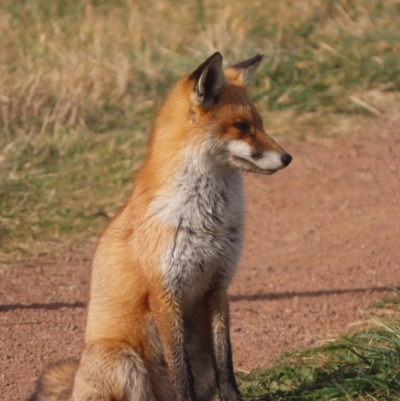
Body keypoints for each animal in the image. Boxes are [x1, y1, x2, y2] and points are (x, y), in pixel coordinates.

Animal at [28, 53, 290, 400]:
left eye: (260, 124)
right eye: (241, 127)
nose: (287, 157)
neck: (207, 220)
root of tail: (75, 387)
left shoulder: (218, 285)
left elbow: (226, 363)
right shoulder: (165, 292)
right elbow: (180, 371)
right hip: (124, 359)